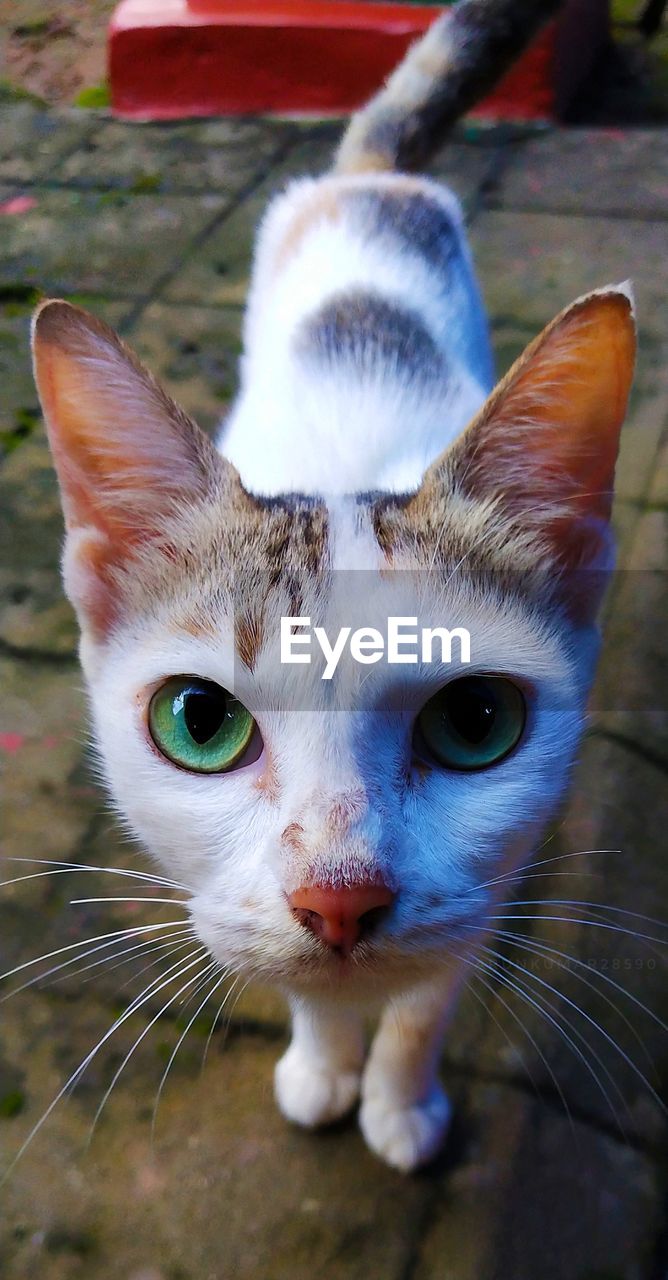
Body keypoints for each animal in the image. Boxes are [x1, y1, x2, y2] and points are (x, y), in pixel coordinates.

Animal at [31, 0, 634, 1172]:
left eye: (476, 720)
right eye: (199, 721)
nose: (341, 900)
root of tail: (370, 179)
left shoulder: (485, 885)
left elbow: (421, 1005)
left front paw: (398, 1100)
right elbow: (304, 987)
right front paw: (322, 1065)